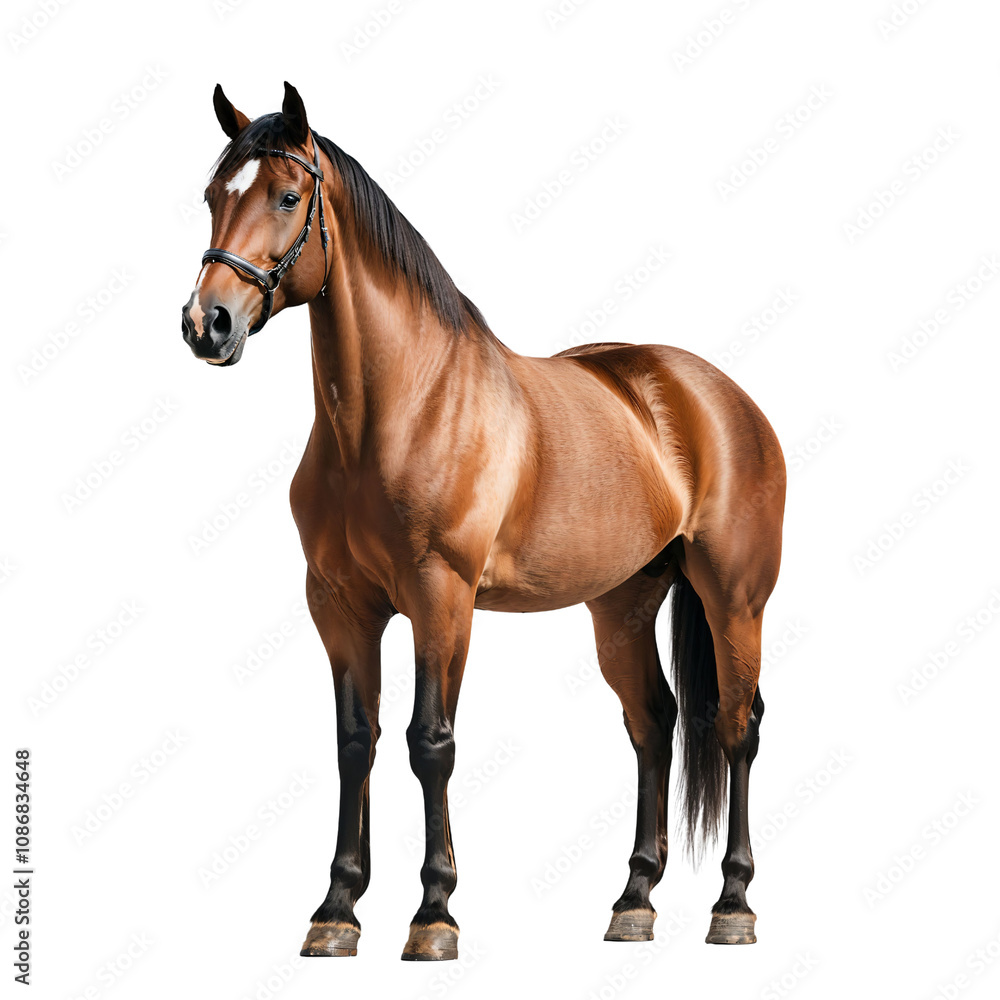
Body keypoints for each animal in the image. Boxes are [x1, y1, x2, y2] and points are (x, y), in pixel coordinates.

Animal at [181, 83, 786, 961]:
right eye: (212, 197)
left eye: (288, 197)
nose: (208, 323)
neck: (400, 409)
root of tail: (714, 394)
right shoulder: (338, 605)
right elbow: (355, 742)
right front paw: (337, 910)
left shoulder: (443, 598)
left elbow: (429, 743)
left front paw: (434, 914)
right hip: (623, 605)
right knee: (655, 722)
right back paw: (633, 901)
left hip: (734, 599)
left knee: (738, 726)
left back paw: (733, 904)